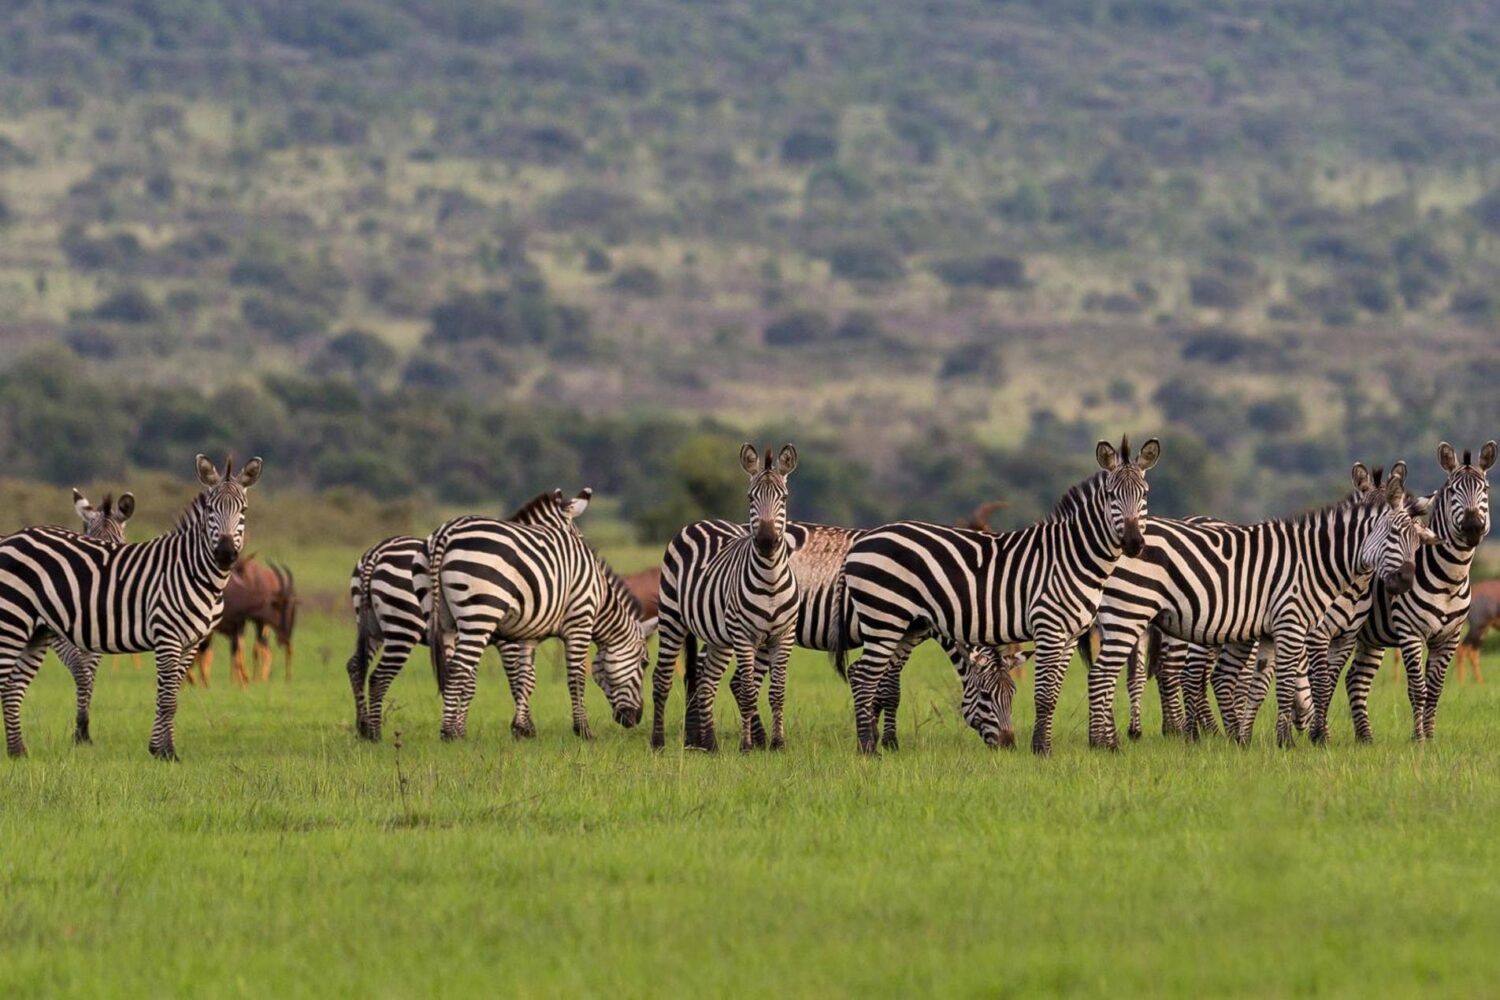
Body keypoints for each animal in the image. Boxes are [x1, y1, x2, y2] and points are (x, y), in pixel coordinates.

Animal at [0, 458, 262, 761]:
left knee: (14, 687)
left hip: (37, 632)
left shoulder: (191, 642)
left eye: (243, 510)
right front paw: (167, 753)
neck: (194, 571)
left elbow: (169, 696)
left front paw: (158, 749)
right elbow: (168, 699)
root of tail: (13, 537)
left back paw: (18, 752)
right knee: (6, 683)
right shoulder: (167, 636)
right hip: (12, 622)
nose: (225, 554)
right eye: (210, 509)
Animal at [651, 440, 804, 755]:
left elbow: (777, 691)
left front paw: (778, 743)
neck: (770, 580)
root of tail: (698, 522)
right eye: (750, 497)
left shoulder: (783, 635)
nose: (767, 541)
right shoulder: (744, 636)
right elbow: (747, 691)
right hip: (671, 617)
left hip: (719, 637)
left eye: (783, 497)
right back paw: (658, 742)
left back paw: (711, 745)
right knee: (661, 678)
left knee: (707, 682)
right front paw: (746, 746)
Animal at [846, 434, 1158, 755]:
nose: (1134, 543)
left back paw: (871, 743)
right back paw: (868, 748)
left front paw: (1047, 746)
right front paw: (1041, 750)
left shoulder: (1071, 635)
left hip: (906, 625)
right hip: (885, 617)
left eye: (1145, 495)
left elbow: (1056, 692)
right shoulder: (1049, 628)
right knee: (864, 675)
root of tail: (864, 539)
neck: (1073, 557)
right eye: (1111, 496)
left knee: (864, 673)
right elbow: (1045, 694)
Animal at [1086, 464, 1422, 746]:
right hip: (1130, 611)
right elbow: (1288, 684)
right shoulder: (1293, 625)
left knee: (1114, 675)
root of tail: (1118, 538)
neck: (1314, 561)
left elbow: (1262, 686)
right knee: (1106, 674)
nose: (1407, 580)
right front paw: (1288, 742)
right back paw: (1107, 743)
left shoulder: (1278, 632)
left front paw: (1245, 739)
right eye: (1394, 535)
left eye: (1417, 540)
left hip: (1124, 616)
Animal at [1314, 440, 1488, 743]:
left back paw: (1365, 738)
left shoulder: (1450, 637)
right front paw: (1418, 740)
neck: (1450, 578)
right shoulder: (1410, 632)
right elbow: (1417, 688)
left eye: (1486, 490)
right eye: (1452, 491)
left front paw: (1430, 738)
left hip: (1371, 638)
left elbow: (1435, 690)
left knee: (1355, 679)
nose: (1473, 528)